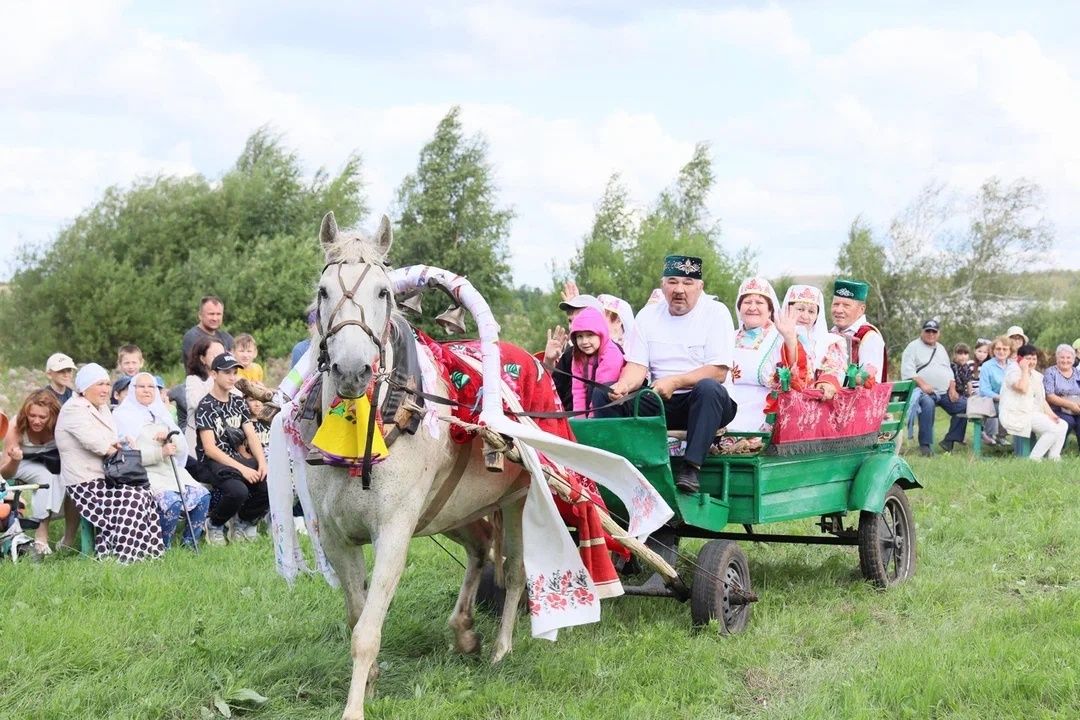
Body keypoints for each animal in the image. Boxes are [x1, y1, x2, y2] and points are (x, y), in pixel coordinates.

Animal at [311, 212, 529, 720]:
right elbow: (357, 615)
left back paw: (501, 648)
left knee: (513, 572)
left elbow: (366, 631)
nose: (351, 370)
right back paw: (464, 629)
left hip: (516, 501)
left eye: (383, 293)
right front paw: (369, 685)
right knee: (479, 549)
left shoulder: (393, 532)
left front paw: (355, 707)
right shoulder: (335, 537)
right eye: (323, 291)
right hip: (451, 509)